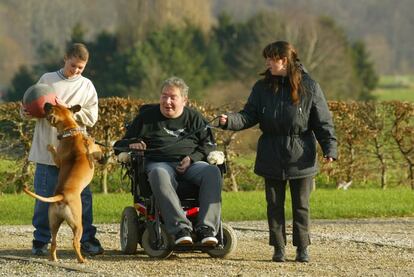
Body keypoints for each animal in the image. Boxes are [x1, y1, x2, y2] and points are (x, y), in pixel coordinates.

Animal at [23, 102, 102, 264]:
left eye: (54, 105)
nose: (46, 103)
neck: (71, 131)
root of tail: (61, 195)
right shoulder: (91, 150)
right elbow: (98, 150)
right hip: (77, 224)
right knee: (75, 242)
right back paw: (82, 260)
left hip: (53, 222)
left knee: (53, 242)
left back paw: (54, 259)